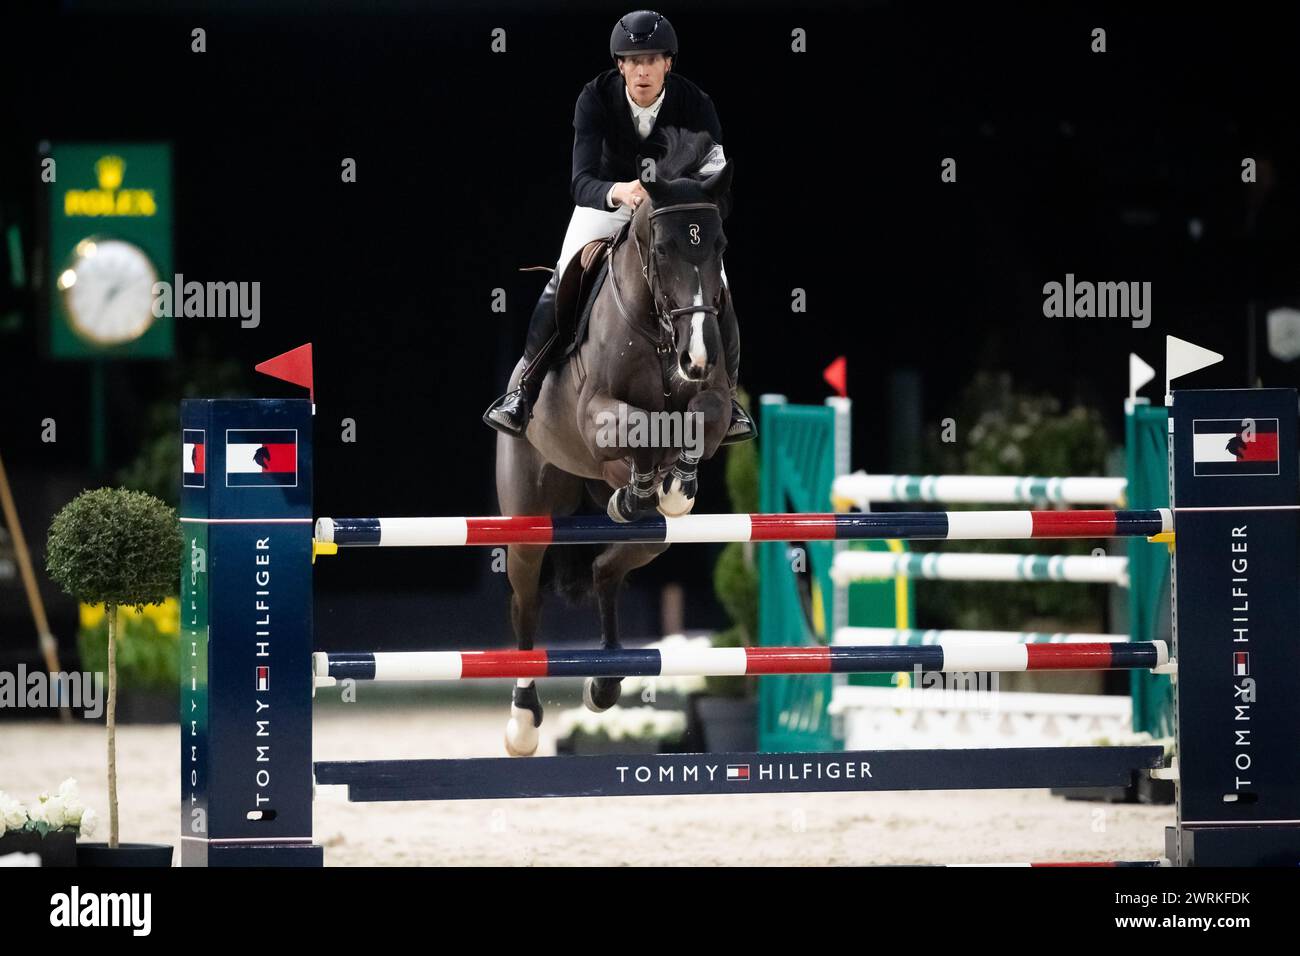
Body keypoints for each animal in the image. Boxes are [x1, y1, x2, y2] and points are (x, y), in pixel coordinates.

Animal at [493, 128, 733, 754]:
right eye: (664, 250)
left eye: (718, 245)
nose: (696, 357)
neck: (659, 327)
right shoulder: (596, 411)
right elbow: (635, 425)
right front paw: (653, 481)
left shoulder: (716, 399)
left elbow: (700, 419)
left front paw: (674, 485)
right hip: (528, 515)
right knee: (525, 601)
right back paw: (523, 720)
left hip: (653, 541)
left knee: (608, 568)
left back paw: (604, 682)